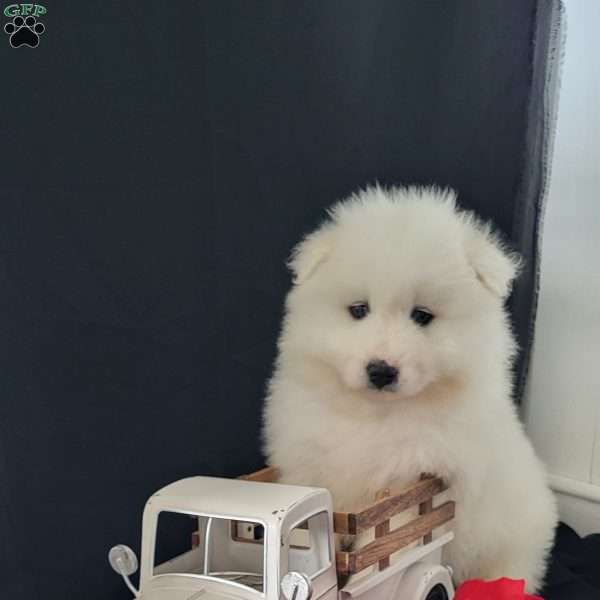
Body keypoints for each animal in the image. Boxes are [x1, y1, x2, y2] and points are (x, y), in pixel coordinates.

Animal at [262, 185, 556, 592]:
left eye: (422, 316)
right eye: (359, 310)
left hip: (511, 542)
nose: (381, 370)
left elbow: (389, 546)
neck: (376, 414)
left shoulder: (416, 486)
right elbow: (313, 527)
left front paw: (360, 580)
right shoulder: (310, 468)